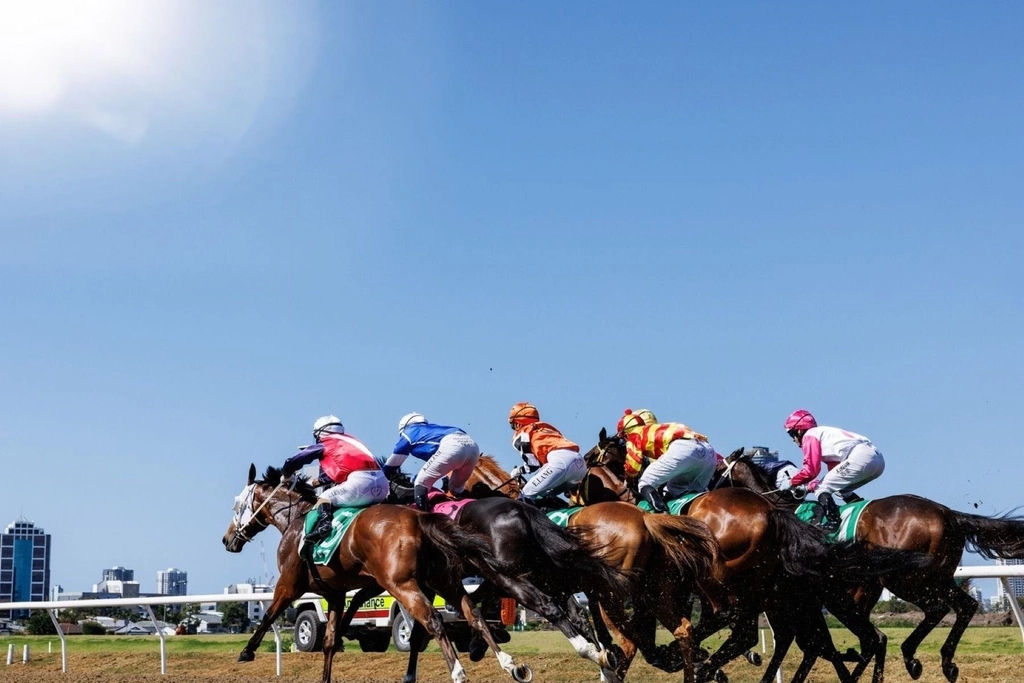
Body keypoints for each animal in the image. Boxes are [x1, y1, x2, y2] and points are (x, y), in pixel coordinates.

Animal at [221, 464, 532, 683]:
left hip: (402, 584)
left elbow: (269, 615)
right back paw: (510, 664)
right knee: (473, 614)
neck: (295, 519)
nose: (227, 539)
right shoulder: (335, 594)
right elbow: (330, 642)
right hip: (442, 580)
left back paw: (458, 671)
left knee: (432, 620)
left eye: (237, 504)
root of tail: (420, 518)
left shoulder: (289, 584)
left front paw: (246, 651)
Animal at [716, 448, 1024, 683]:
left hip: (906, 579)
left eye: (719, 469)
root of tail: (947, 513)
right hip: (934, 577)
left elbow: (810, 643)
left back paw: (910, 655)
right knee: (963, 606)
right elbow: (814, 644)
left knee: (930, 612)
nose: (708, 496)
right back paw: (946, 663)